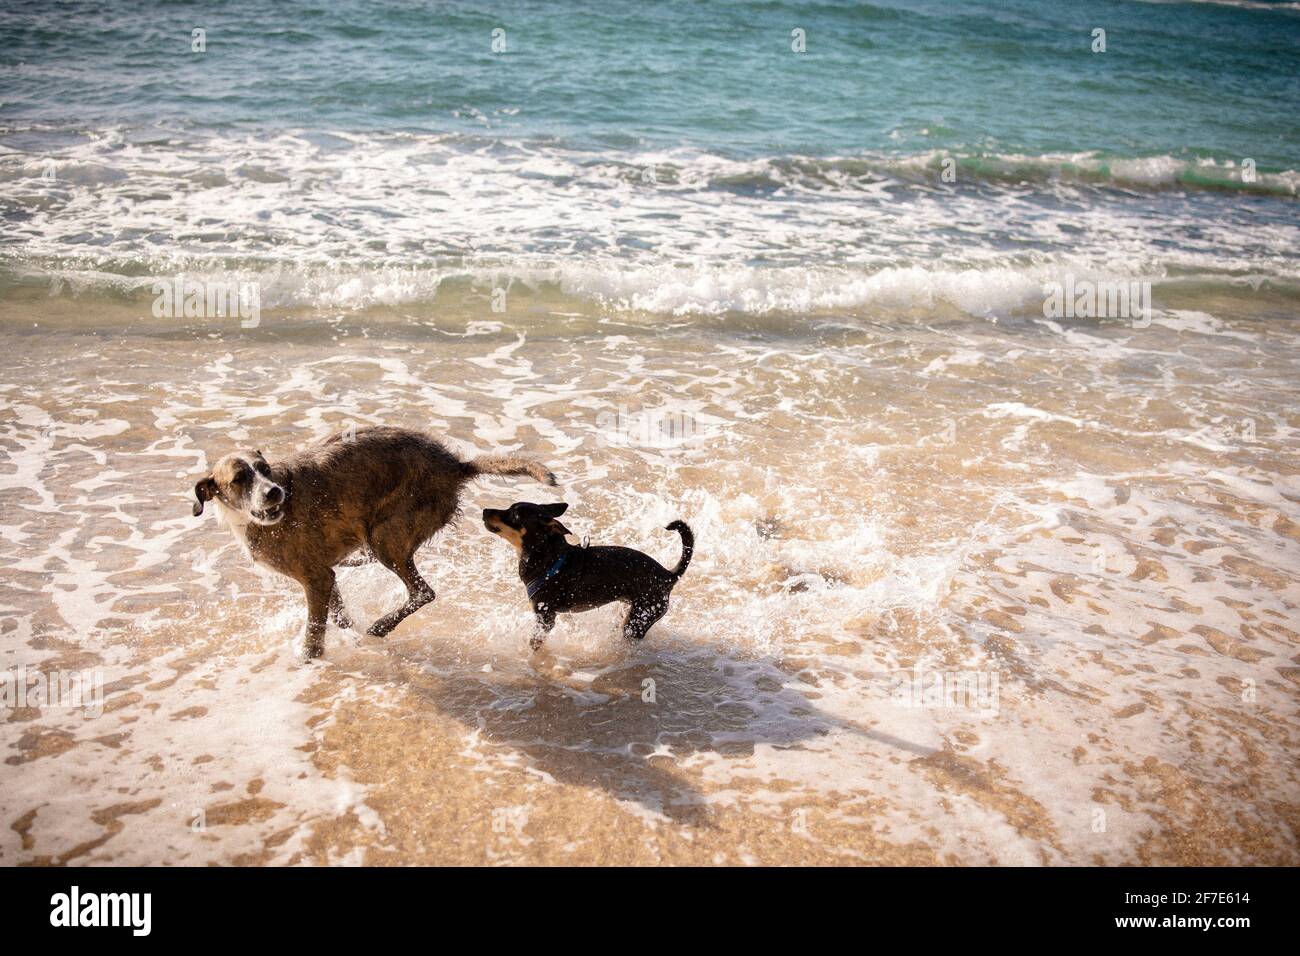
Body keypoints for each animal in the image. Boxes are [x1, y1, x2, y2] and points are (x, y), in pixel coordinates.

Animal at [191, 426, 553, 658]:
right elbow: (338, 615)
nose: (273, 492)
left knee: (423, 591)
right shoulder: (324, 577)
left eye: (264, 469)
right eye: (240, 479)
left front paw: (309, 661)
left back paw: (381, 628)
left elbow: (314, 633)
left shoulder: (315, 578)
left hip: (386, 538)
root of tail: (456, 465)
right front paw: (346, 634)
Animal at [483, 502, 696, 650]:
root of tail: (669, 575)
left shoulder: (545, 616)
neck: (547, 558)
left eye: (515, 515)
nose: (484, 510)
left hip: (639, 619)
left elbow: (535, 642)